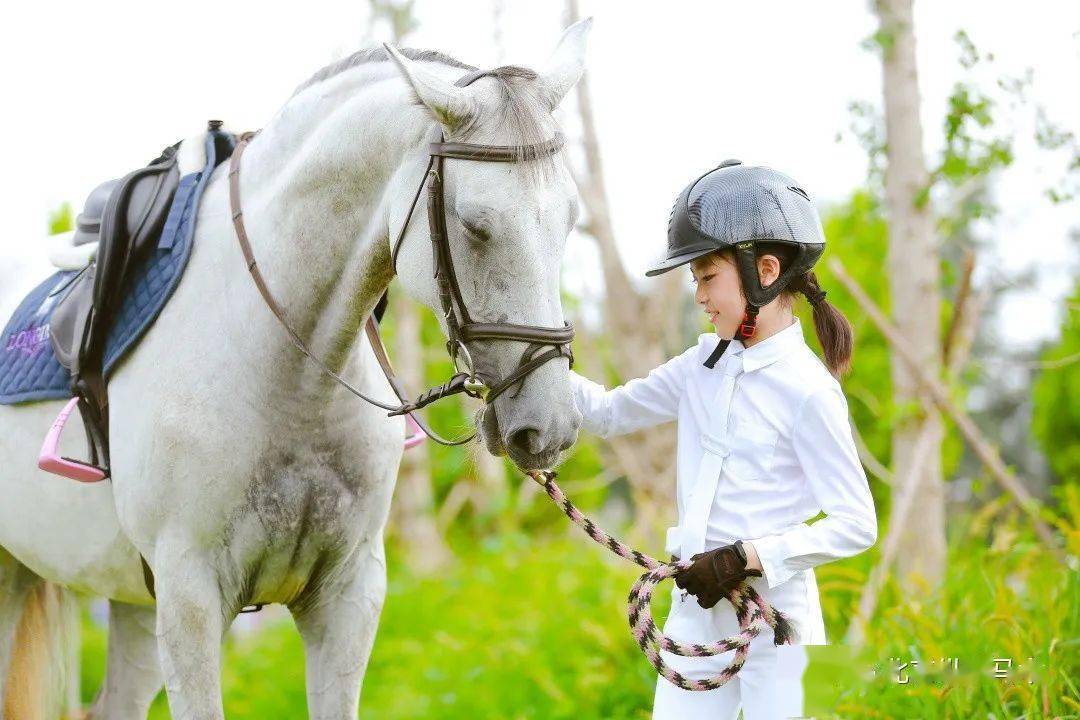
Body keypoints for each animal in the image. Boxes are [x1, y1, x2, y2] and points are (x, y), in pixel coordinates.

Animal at [0, 19, 591, 716]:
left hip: (131, 605)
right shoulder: (191, 601)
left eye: (570, 220)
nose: (548, 428)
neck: (291, 377)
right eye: (475, 227)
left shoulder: (348, 598)